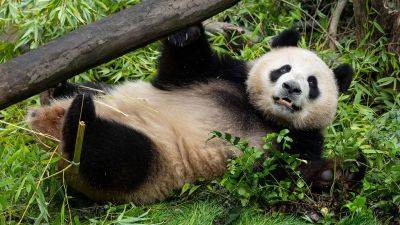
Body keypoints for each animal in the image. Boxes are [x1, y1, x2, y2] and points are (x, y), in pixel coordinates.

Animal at [28, 24, 360, 204]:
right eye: (283, 69)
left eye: (312, 83)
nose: (291, 88)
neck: (262, 115)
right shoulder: (222, 75)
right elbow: (181, 67)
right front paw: (186, 33)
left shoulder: (300, 141)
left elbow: (282, 176)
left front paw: (337, 172)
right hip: (106, 93)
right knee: (89, 93)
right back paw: (57, 92)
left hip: (153, 165)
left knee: (114, 155)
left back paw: (80, 121)